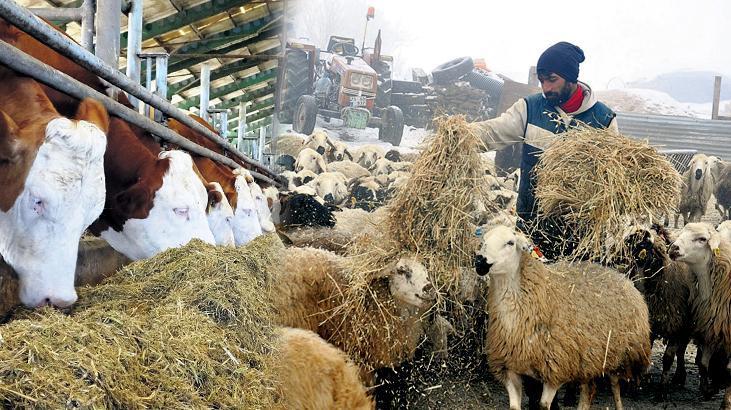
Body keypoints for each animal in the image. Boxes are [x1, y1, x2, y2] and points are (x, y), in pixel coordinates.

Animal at [478, 224, 656, 410]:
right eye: (483, 241)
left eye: (510, 242)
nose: (480, 262)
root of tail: (621, 277)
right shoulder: (509, 369)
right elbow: (514, 406)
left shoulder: (556, 370)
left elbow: (543, 405)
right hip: (589, 359)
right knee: (588, 390)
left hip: (619, 353)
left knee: (615, 386)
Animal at [624, 223, 696, 398]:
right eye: (629, 253)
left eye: (643, 254)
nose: (635, 285)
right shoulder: (649, 324)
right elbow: (645, 352)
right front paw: (638, 384)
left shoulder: (676, 325)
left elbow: (668, 358)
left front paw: (662, 389)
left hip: (686, 324)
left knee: (681, 350)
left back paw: (679, 377)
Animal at [668, 223, 731, 408]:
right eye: (681, 233)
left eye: (702, 239)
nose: (673, 248)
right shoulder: (712, 327)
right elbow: (703, 364)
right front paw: (708, 390)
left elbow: (729, 370)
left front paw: (726, 403)